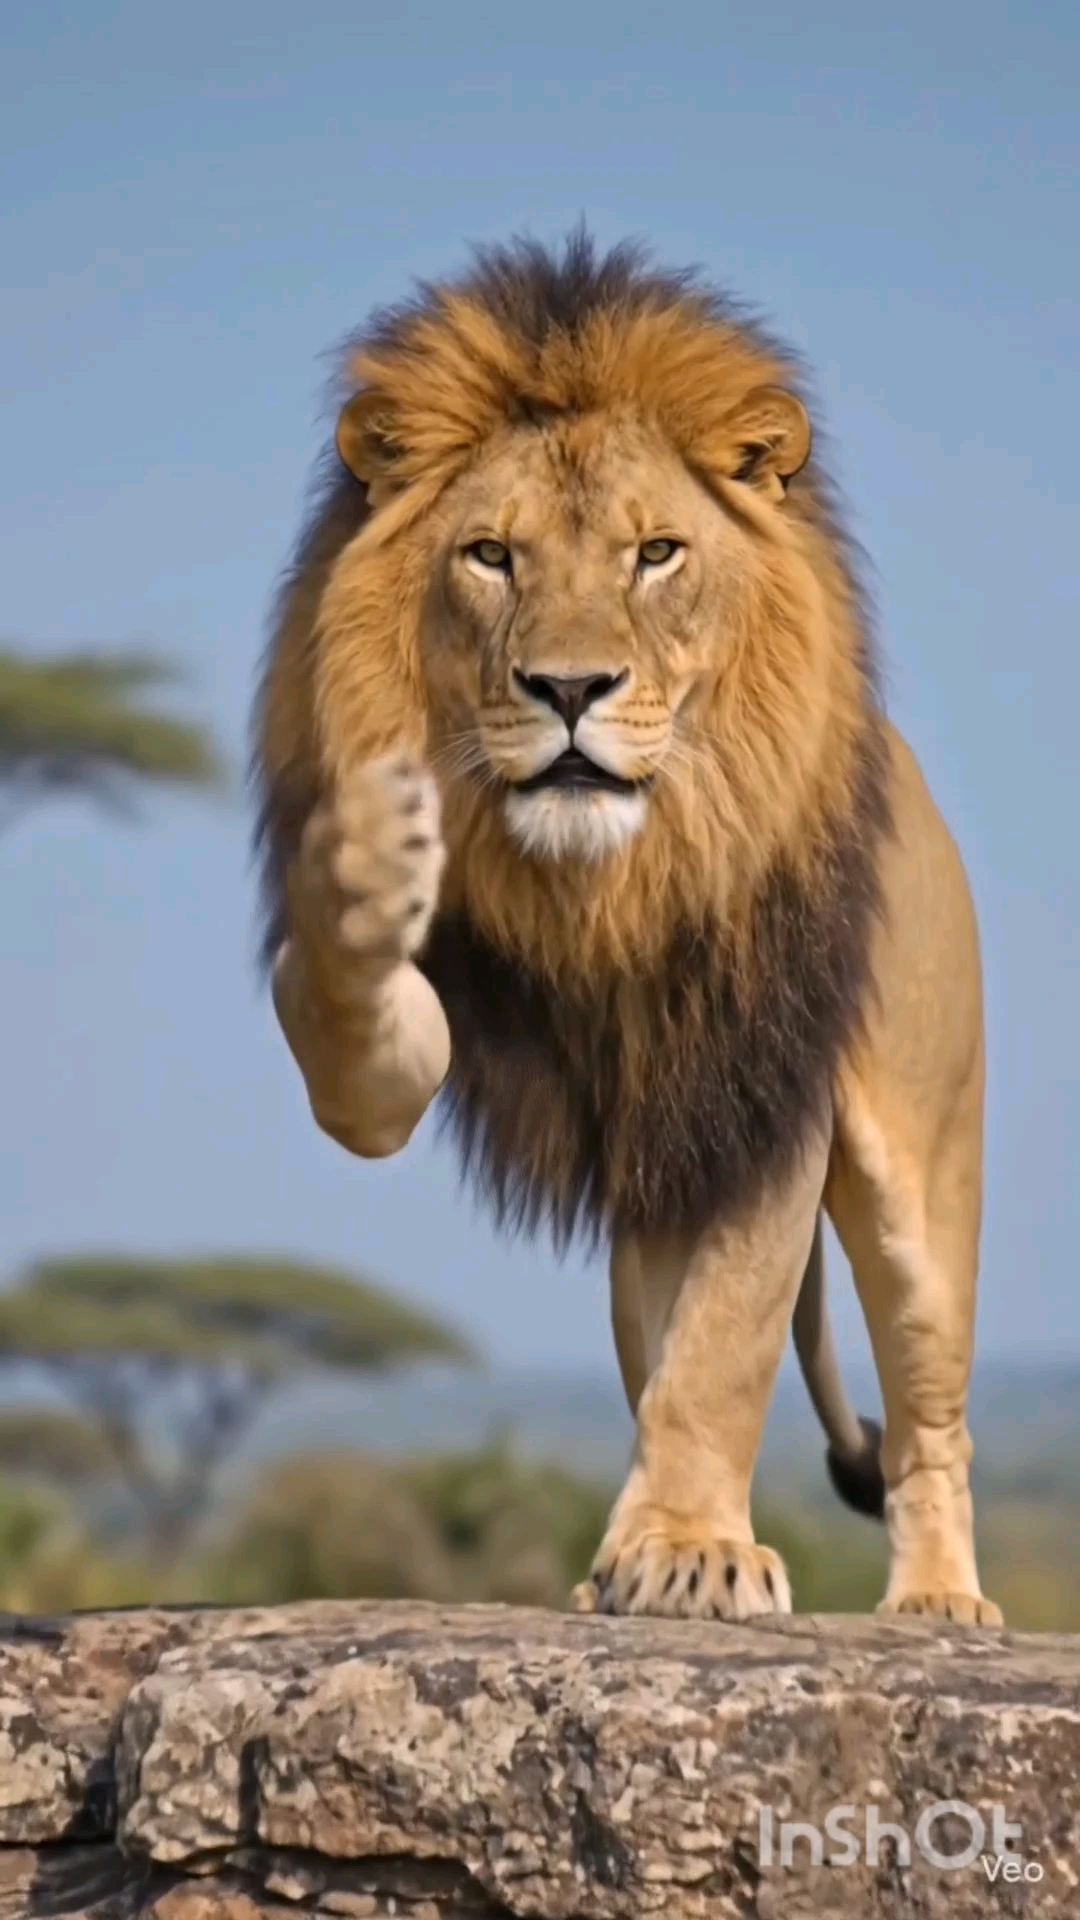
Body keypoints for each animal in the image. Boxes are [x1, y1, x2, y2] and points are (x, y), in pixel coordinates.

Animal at [253, 231, 1001, 1626]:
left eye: (656, 553)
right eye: (490, 556)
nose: (568, 688)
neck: (604, 887)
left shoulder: (763, 1086)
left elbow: (727, 1342)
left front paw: (692, 1549)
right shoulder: (416, 1060)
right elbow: (351, 1025)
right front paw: (370, 868)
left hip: (922, 1177)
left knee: (929, 1414)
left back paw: (935, 1600)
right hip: (653, 1191)